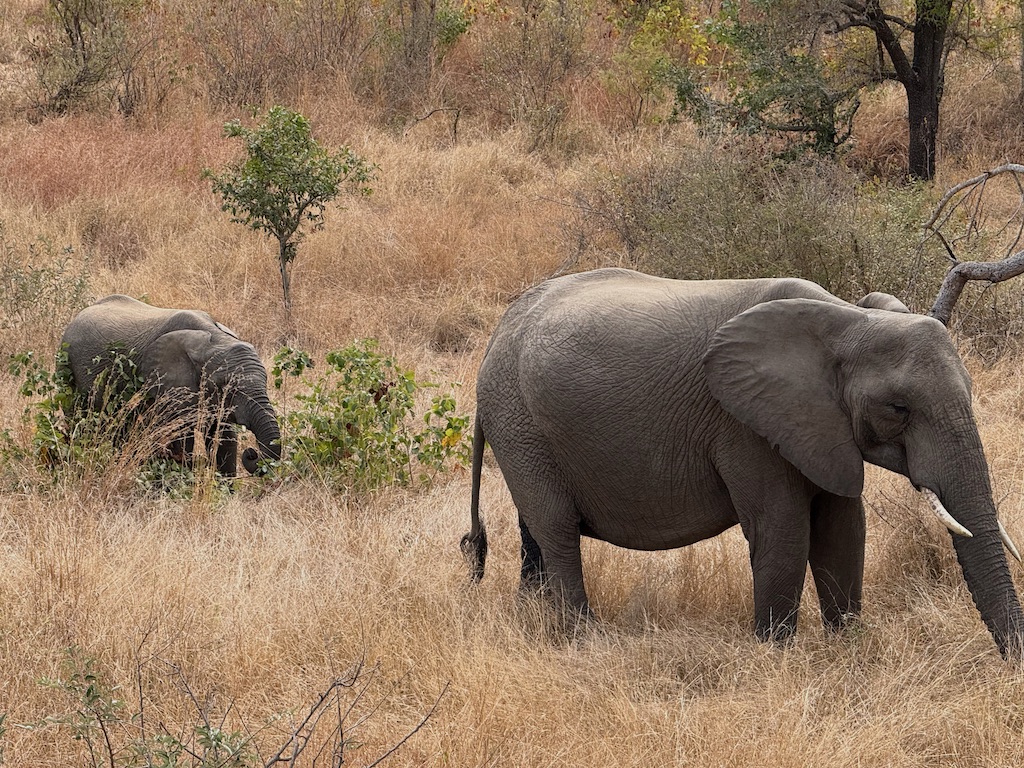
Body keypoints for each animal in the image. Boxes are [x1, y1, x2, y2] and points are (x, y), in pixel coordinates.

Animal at [60, 295, 281, 476]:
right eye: (227, 387)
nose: (252, 453)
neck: (214, 339)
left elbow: (225, 439)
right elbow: (184, 440)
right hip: (67, 367)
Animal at [461, 267, 1024, 657]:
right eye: (898, 409)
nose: (1009, 667)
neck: (846, 319)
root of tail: (496, 336)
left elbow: (843, 529)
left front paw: (848, 648)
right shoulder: (745, 425)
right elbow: (784, 530)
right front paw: (776, 657)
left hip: (524, 428)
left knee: (536, 533)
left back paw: (534, 623)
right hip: (520, 422)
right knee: (557, 531)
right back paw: (583, 640)